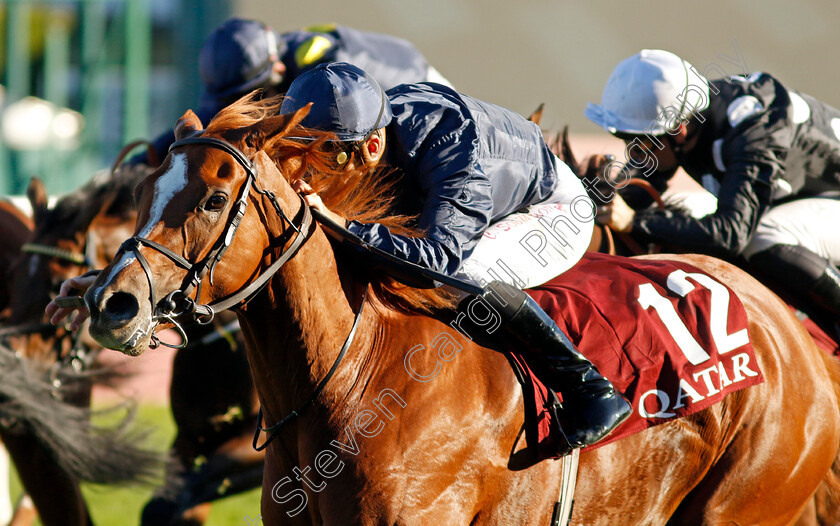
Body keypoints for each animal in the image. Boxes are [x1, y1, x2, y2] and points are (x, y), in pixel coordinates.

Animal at [82, 98, 840, 524]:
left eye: (214, 198)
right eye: (143, 191)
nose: (112, 303)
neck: (356, 375)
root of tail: (789, 328)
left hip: (743, 503)